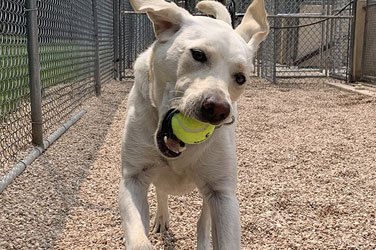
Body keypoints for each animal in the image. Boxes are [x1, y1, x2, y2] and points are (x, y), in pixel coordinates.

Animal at [119, 0, 268, 249]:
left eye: (240, 78)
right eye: (198, 54)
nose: (218, 109)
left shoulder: (222, 194)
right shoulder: (133, 178)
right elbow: (139, 240)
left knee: (203, 219)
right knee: (161, 190)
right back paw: (162, 218)